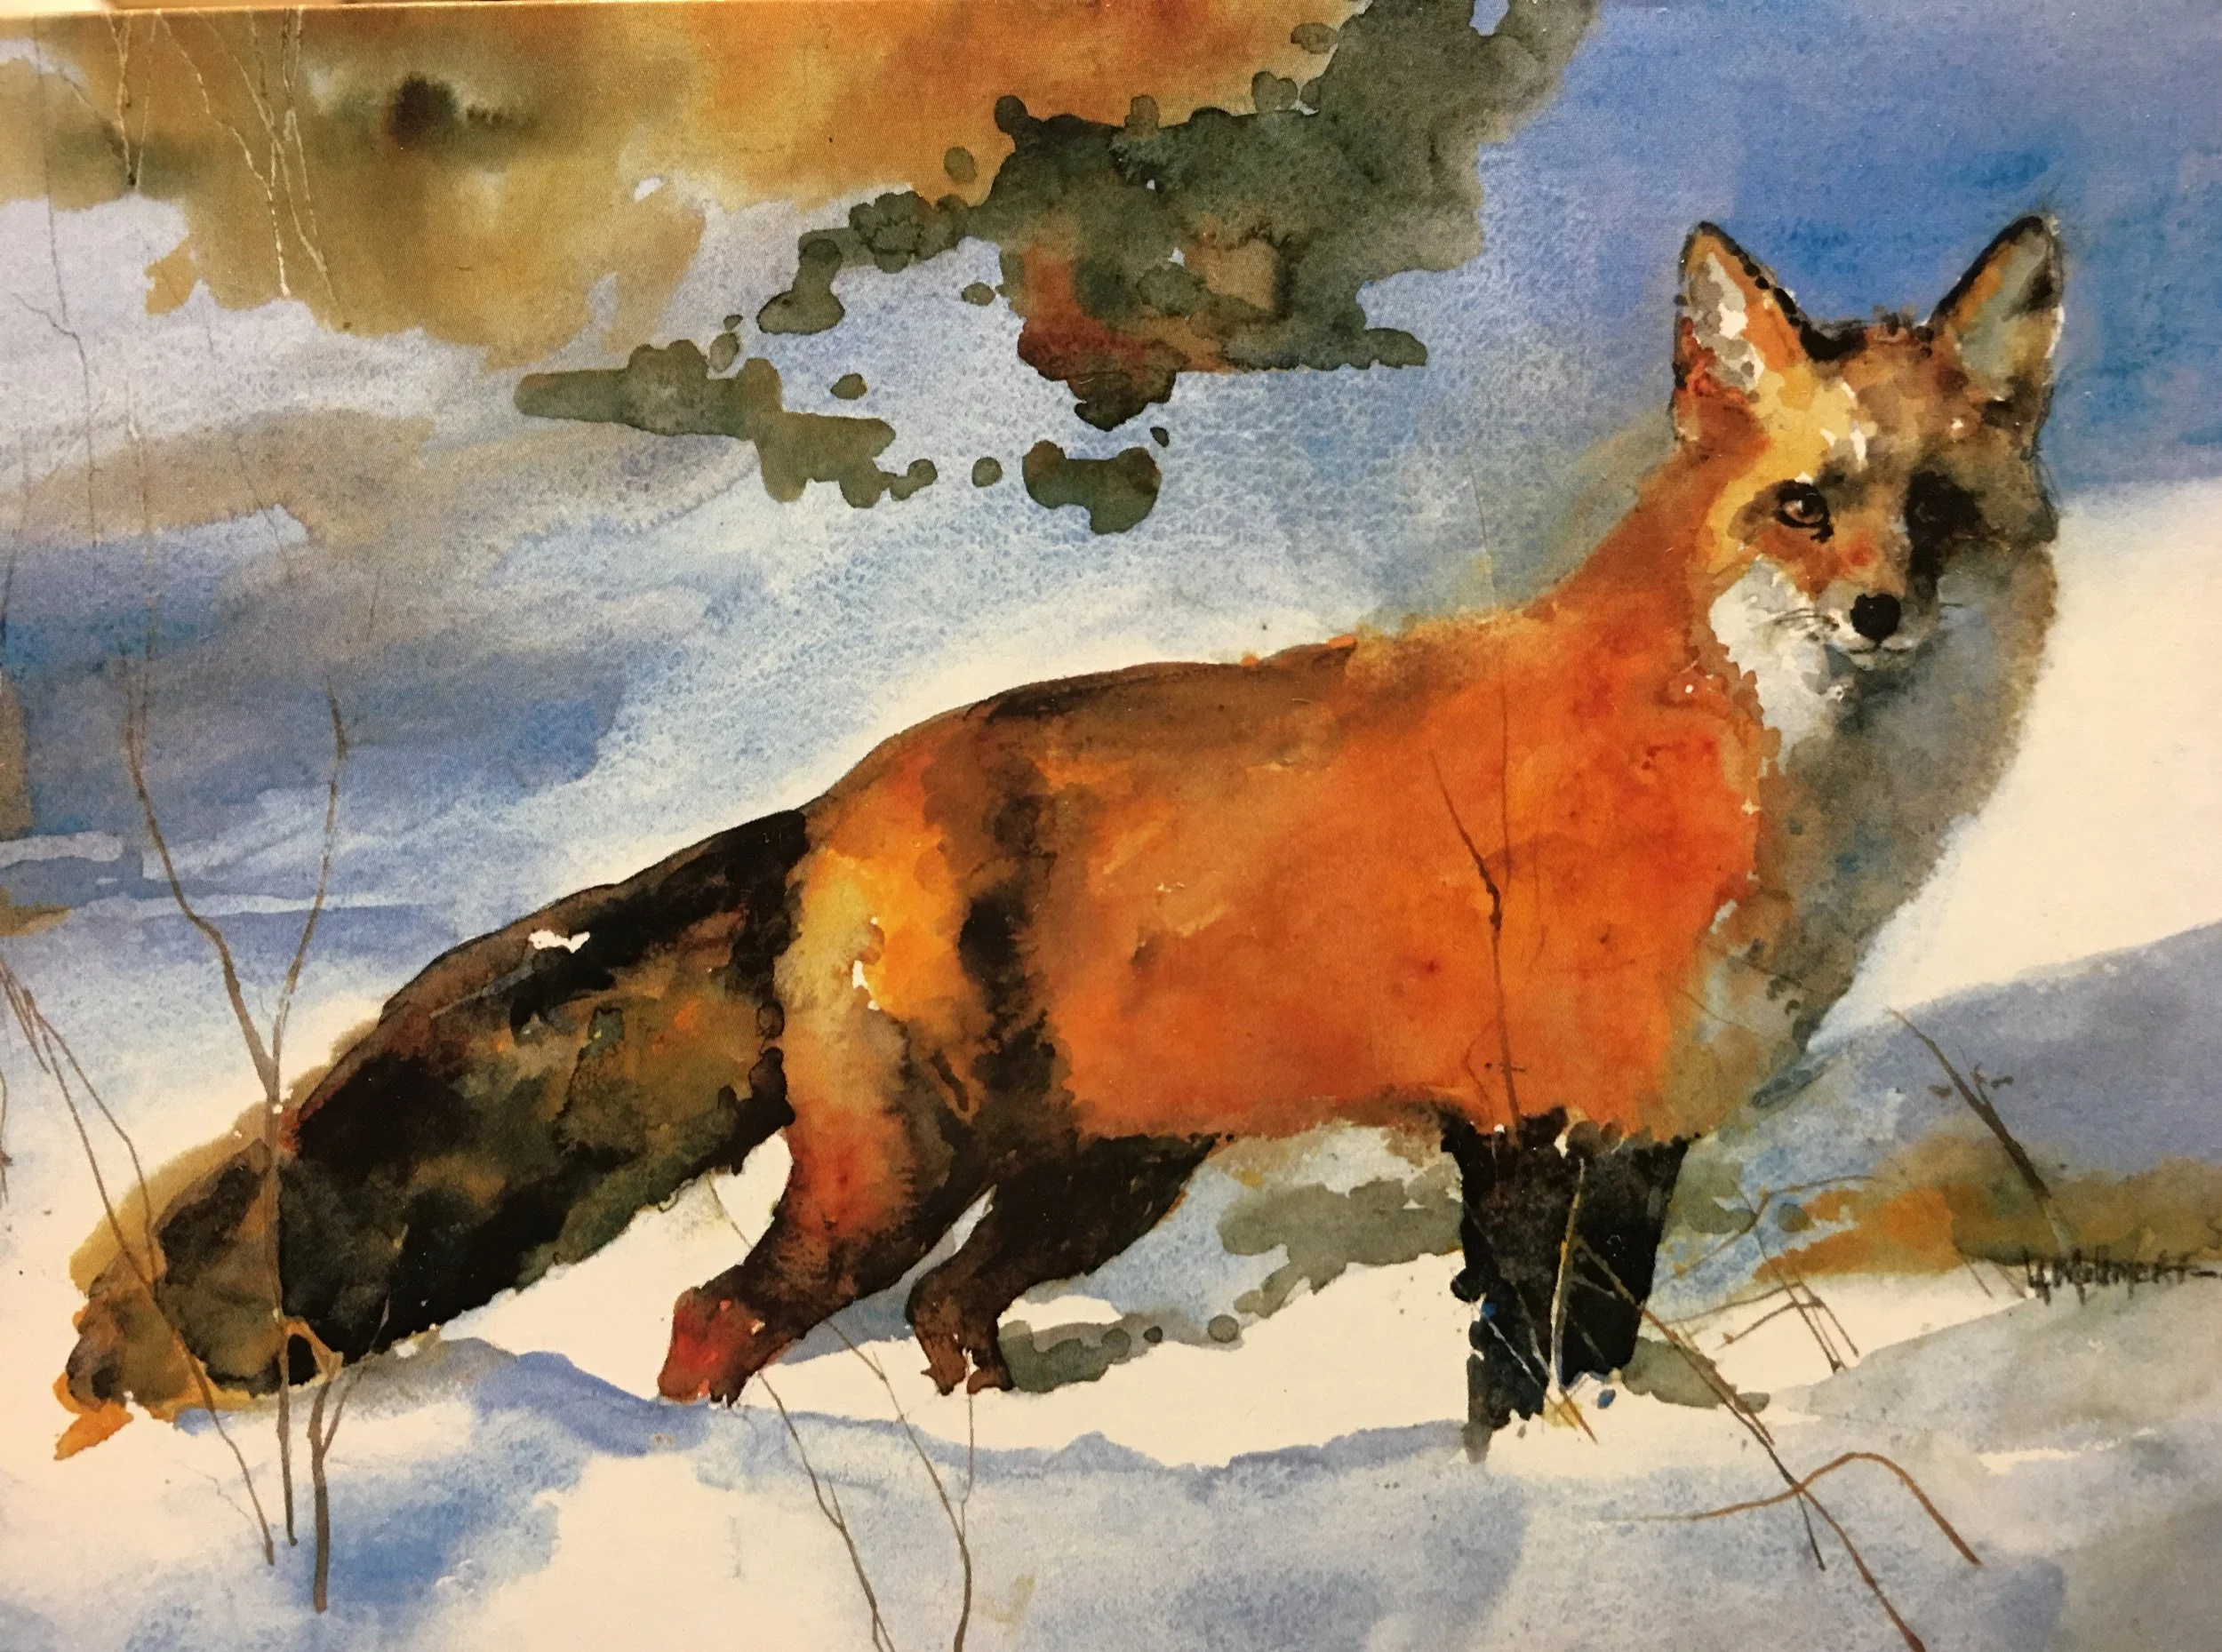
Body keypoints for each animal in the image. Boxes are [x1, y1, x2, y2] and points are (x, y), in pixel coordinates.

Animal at [60, 215, 2063, 1451]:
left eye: (1938, 510)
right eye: (1801, 506)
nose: (1879, 614)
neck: (1766, 813)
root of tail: (836, 792)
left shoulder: (1644, 1128)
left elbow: (1596, 1343)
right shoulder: (1516, 1122)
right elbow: (1512, 1368)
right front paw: (1532, 1481)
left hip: (1096, 1175)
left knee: (948, 1310)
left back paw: (1016, 1450)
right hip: (898, 1174)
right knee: (717, 1312)